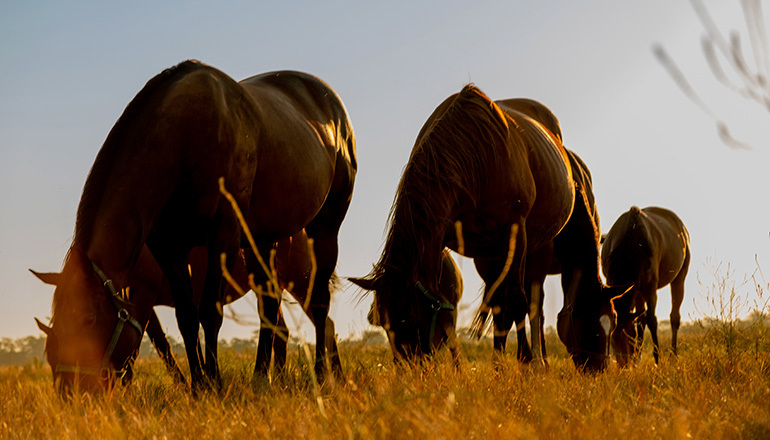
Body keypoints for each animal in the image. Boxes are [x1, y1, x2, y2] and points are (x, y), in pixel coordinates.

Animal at [37, 60, 356, 394]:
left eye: (87, 318)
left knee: (320, 305)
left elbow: (207, 313)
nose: (71, 392)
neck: (184, 136)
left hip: (323, 231)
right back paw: (263, 378)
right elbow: (186, 317)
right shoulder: (168, 248)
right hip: (262, 240)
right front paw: (198, 385)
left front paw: (214, 382)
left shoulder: (221, 236)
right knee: (270, 308)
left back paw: (323, 375)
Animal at [348, 85, 616, 372]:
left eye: (408, 318)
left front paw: (525, 361)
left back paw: (536, 360)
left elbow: (518, 302)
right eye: (385, 323)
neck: (475, 156)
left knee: (529, 303)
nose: (408, 369)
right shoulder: (445, 239)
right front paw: (500, 365)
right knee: (504, 304)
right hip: (493, 256)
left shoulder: (516, 233)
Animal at [600, 208, 688, 366]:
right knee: (641, 318)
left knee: (674, 316)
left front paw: (657, 359)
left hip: (679, 276)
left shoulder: (650, 287)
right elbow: (640, 320)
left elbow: (652, 320)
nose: (623, 364)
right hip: (638, 290)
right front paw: (637, 357)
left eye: (629, 337)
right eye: (613, 341)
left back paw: (673, 354)